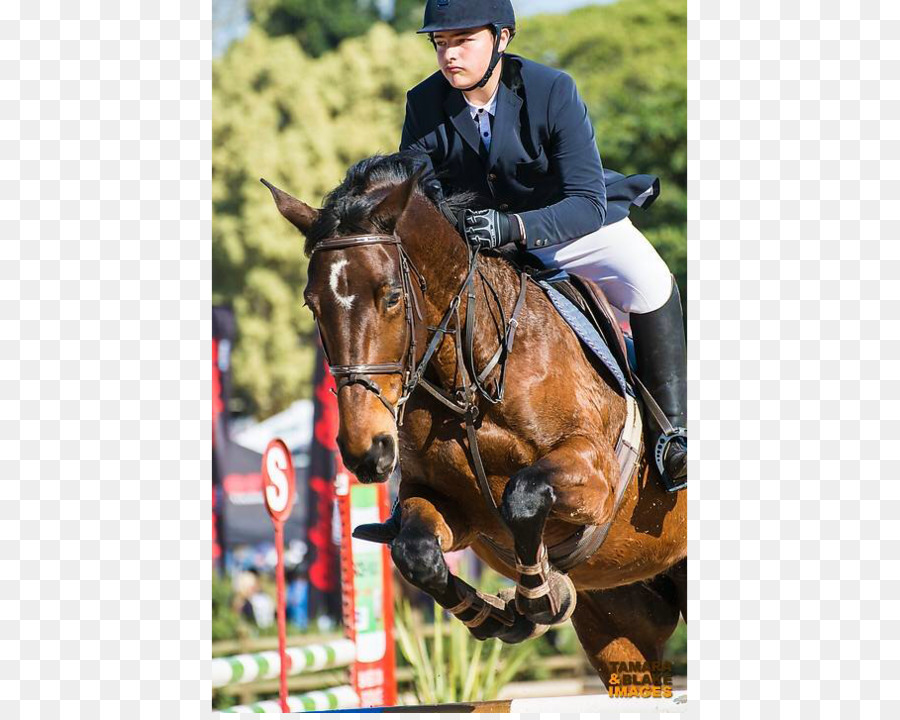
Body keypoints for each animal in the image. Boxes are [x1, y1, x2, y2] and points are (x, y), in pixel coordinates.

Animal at [264, 152, 684, 688]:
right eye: (312, 304)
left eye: (392, 296)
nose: (367, 451)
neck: (468, 379)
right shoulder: (448, 506)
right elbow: (415, 551)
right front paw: (496, 616)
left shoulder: (596, 478)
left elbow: (524, 495)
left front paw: (540, 597)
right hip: (622, 618)